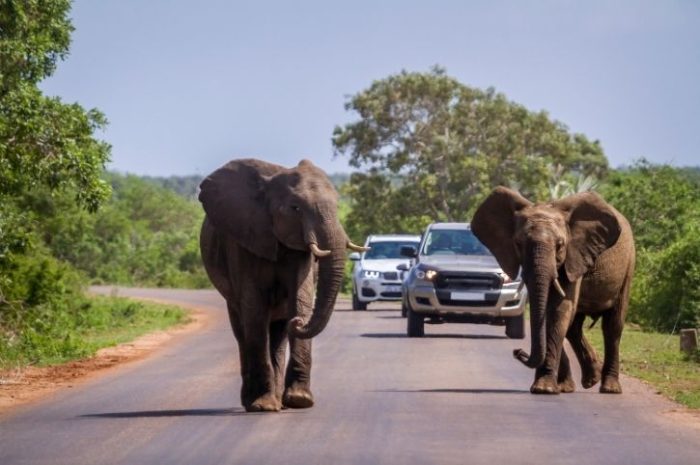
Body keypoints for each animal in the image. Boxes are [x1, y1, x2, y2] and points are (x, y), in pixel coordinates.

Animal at [199, 158, 367, 412]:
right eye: (295, 208)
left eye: (338, 206)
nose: (297, 322)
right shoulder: (243, 240)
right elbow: (254, 308)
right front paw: (263, 406)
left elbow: (301, 297)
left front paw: (300, 400)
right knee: (242, 332)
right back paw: (255, 401)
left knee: (277, 335)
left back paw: (280, 400)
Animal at [472, 187, 635, 395]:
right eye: (518, 244)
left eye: (560, 245)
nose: (518, 352)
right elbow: (551, 314)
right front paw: (550, 387)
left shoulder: (575, 255)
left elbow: (559, 309)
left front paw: (544, 388)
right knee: (573, 327)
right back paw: (586, 381)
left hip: (629, 264)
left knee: (613, 325)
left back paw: (609, 388)